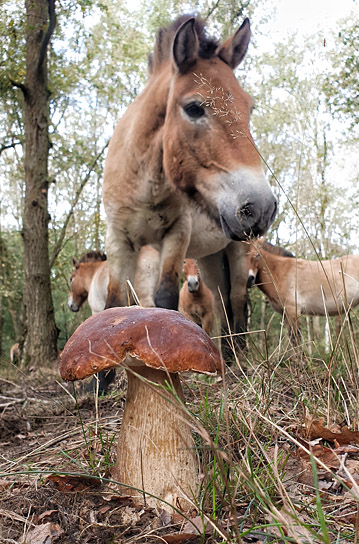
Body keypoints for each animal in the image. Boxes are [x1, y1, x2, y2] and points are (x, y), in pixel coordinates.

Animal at [102, 14, 278, 320]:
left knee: (236, 304)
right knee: (222, 305)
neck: (143, 182)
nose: (260, 208)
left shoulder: (176, 235)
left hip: (238, 251)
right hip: (210, 257)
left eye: (249, 108)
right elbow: (114, 303)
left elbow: (166, 297)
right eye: (194, 108)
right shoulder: (118, 241)